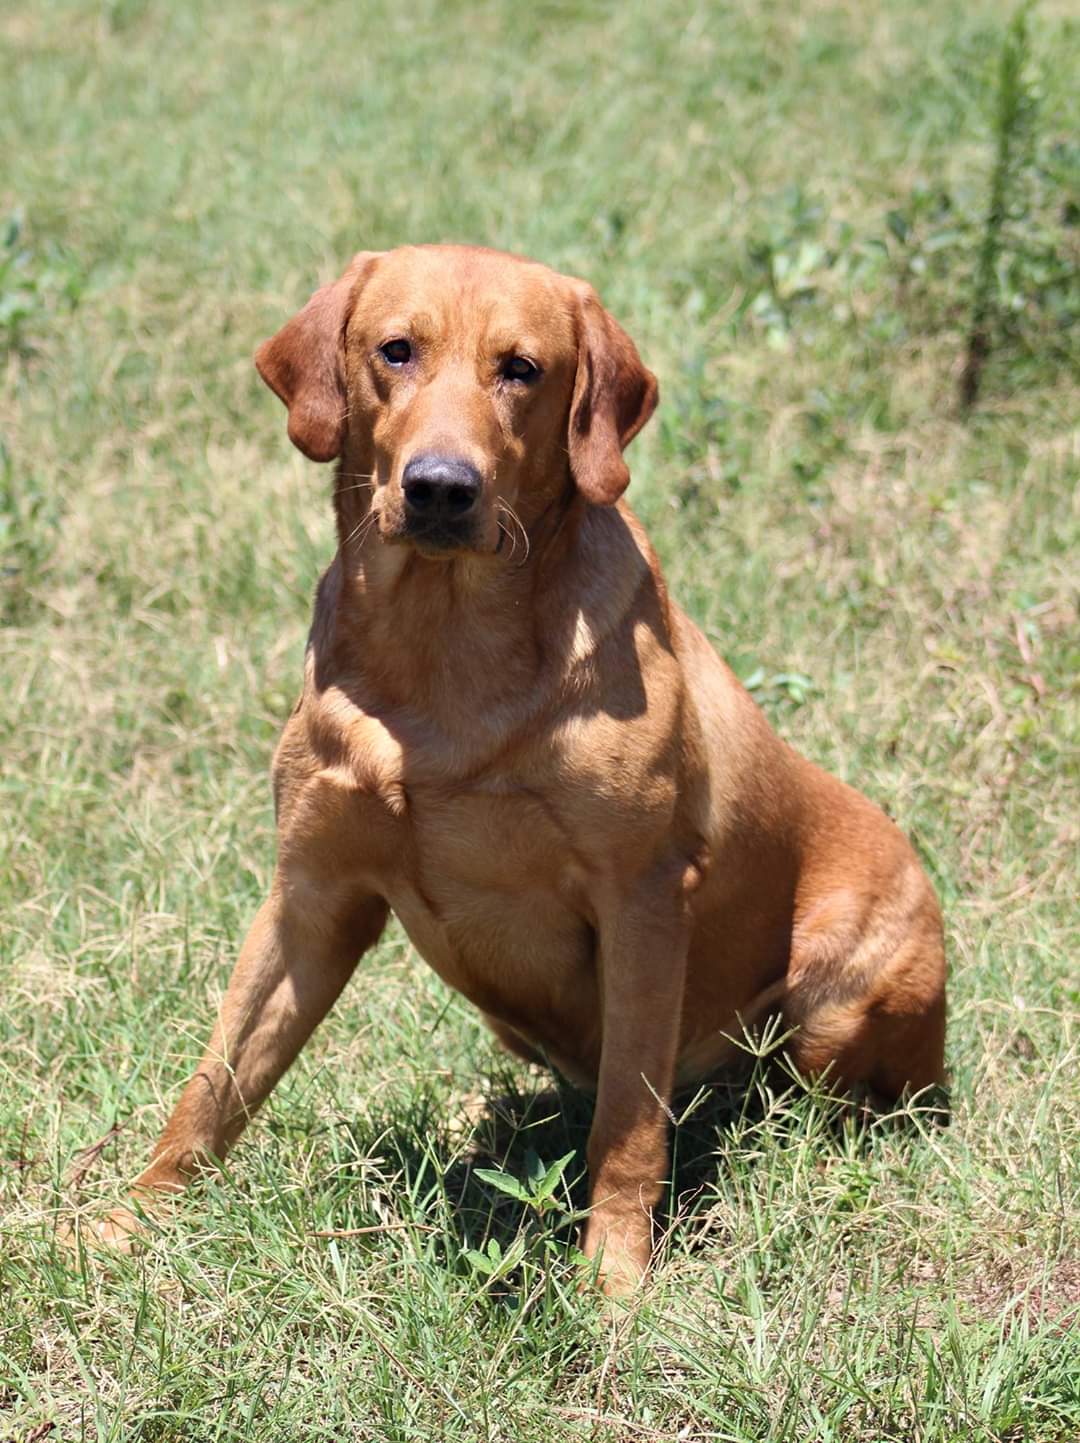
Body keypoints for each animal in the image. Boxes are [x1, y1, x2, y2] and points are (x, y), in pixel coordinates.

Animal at [103, 242, 947, 1292]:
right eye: (397, 350)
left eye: (522, 369)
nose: (440, 486)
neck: (441, 651)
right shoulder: (310, 896)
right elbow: (214, 1082)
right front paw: (126, 1223)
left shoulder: (642, 899)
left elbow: (627, 1125)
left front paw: (615, 1279)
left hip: (836, 999)